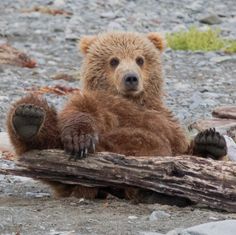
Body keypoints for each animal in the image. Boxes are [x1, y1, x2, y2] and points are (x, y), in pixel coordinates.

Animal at [6, 32, 227, 199]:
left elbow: (182, 152)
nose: (131, 78)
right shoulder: (97, 102)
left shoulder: (167, 122)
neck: (131, 101)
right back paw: (29, 116)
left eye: (140, 59)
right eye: (114, 60)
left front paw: (210, 141)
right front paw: (80, 139)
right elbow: (78, 112)